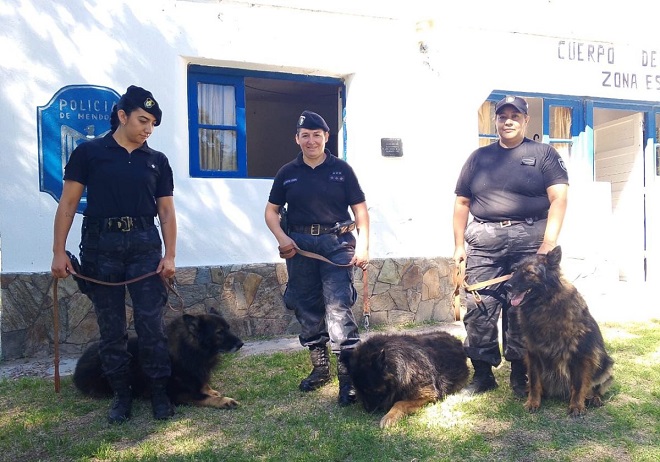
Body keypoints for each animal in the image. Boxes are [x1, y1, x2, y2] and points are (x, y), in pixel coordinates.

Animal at [73, 308, 244, 409]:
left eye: (228, 328)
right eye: (219, 332)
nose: (241, 343)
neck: (188, 350)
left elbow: (203, 385)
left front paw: (211, 390)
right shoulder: (177, 394)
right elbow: (203, 396)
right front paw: (224, 400)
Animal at [505, 245, 614, 417]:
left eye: (530, 272)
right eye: (515, 270)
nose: (506, 286)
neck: (544, 305)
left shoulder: (580, 355)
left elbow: (578, 385)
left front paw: (576, 406)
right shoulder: (533, 354)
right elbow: (534, 382)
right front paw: (533, 402)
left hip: (606, 364)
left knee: (595, 388)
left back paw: (594, 398)